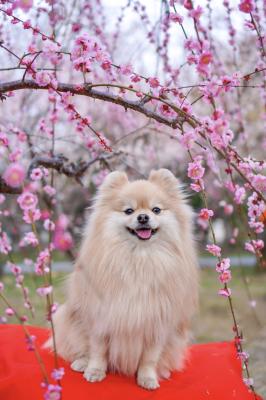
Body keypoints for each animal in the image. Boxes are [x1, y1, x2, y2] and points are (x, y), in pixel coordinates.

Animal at [45, 167, 197, 390]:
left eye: (156, 210)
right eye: (128, 211)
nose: (143, 217)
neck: (139, 258)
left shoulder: (157, 324)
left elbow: (149, 358)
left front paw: (147, 378)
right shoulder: (101, 317)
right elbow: (98, 350)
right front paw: (95, 371)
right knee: (79, 347)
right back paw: (82, 362)